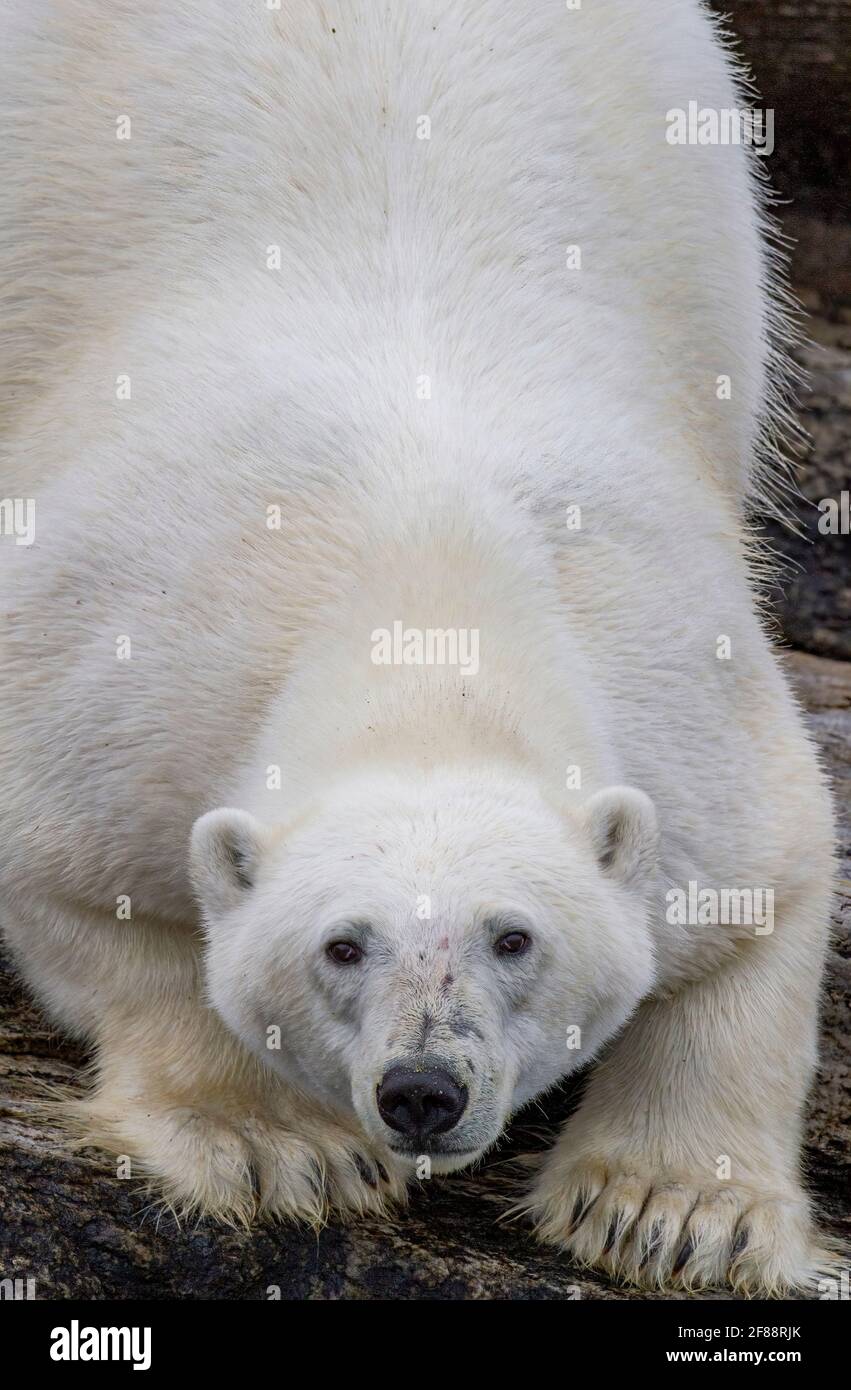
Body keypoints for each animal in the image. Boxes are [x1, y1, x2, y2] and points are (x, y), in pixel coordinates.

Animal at [0, 5, 839, 1295]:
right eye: (342, 943)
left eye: (513, 934)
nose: (422, 1091)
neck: (428, 596)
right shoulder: (134, 664)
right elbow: (83, 884)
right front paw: (275, 1145)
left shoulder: (672, 684)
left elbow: (768, 890)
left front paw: (669, 1208)